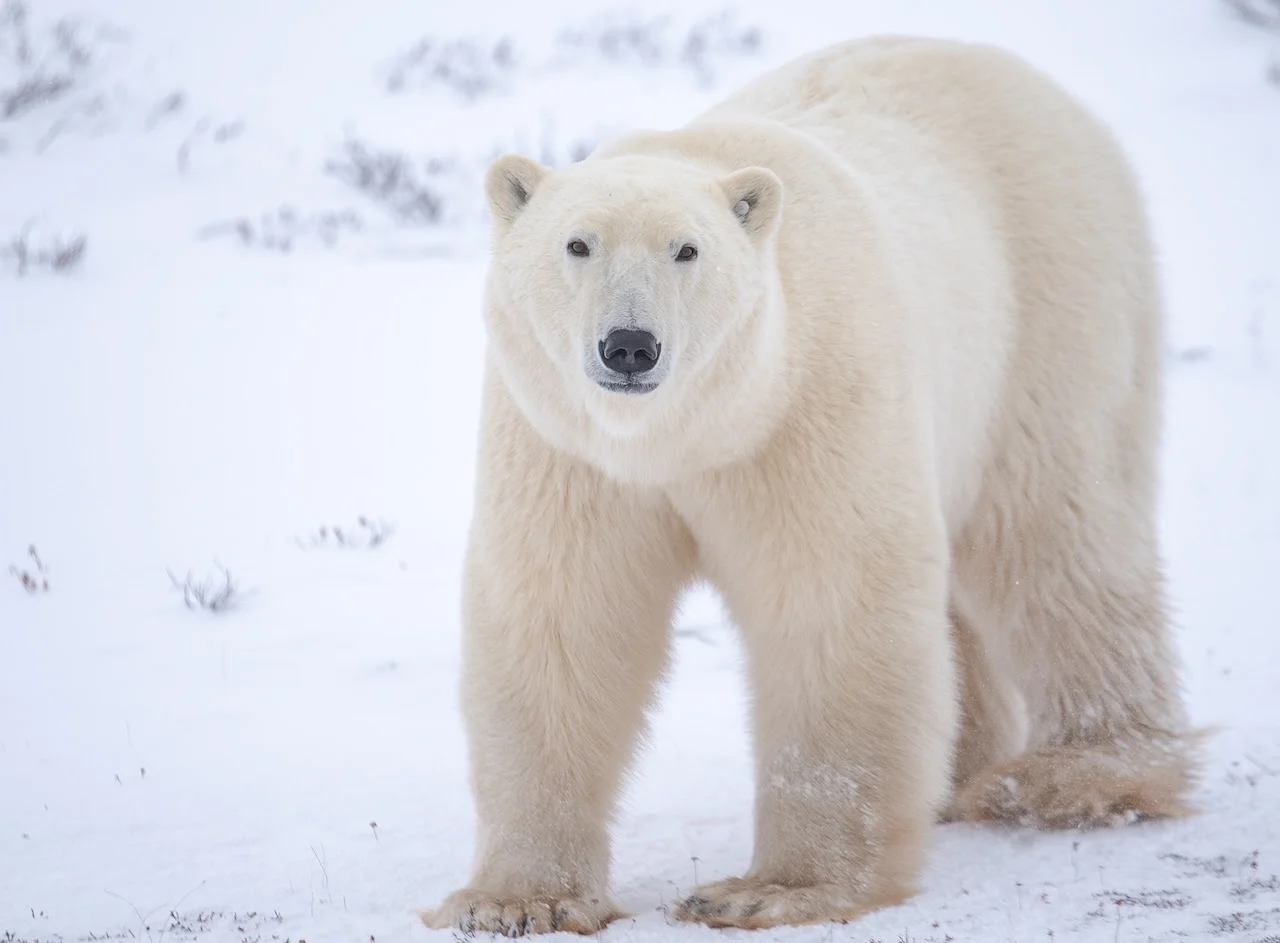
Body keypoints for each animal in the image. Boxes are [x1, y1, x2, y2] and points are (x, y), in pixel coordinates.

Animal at [422, 34, 1197, 935]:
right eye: (577, 244)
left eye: (687, 249)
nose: (630, 346)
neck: (685, 437)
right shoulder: (569, 451)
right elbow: (562, 621)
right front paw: (517, 898)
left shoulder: (809, 404)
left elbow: (834, 604)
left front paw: (771, 889)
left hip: (1054, 301)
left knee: (1060, 534)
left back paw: (1079, 775)